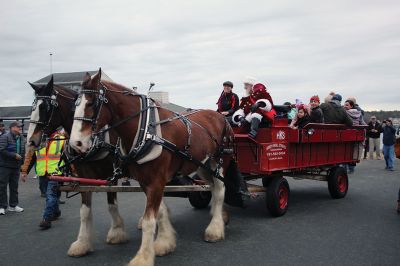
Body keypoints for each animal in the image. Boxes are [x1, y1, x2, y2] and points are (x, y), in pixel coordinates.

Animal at [25, 78, 127, 256]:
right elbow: (85, 211)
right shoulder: (84, 176)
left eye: (44, 107)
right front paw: (82, 243)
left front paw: (116, 232)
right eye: (32, 107)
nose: (30, 141)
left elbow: (112, 205)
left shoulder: (111, 175)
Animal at [69, 69, 234, 264]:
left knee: (221, 189)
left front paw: (143, 257)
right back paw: (219, 217)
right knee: (213, 188)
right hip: (203, 164)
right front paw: (164, 242)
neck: (146, 129)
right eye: (74, 104)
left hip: (221, 161)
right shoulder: (146, 181)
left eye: (92, 103)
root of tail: (220, 117)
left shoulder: (156, 180)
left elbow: (149, 221)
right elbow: (160, 212)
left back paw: (215, 228)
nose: (76, 143)